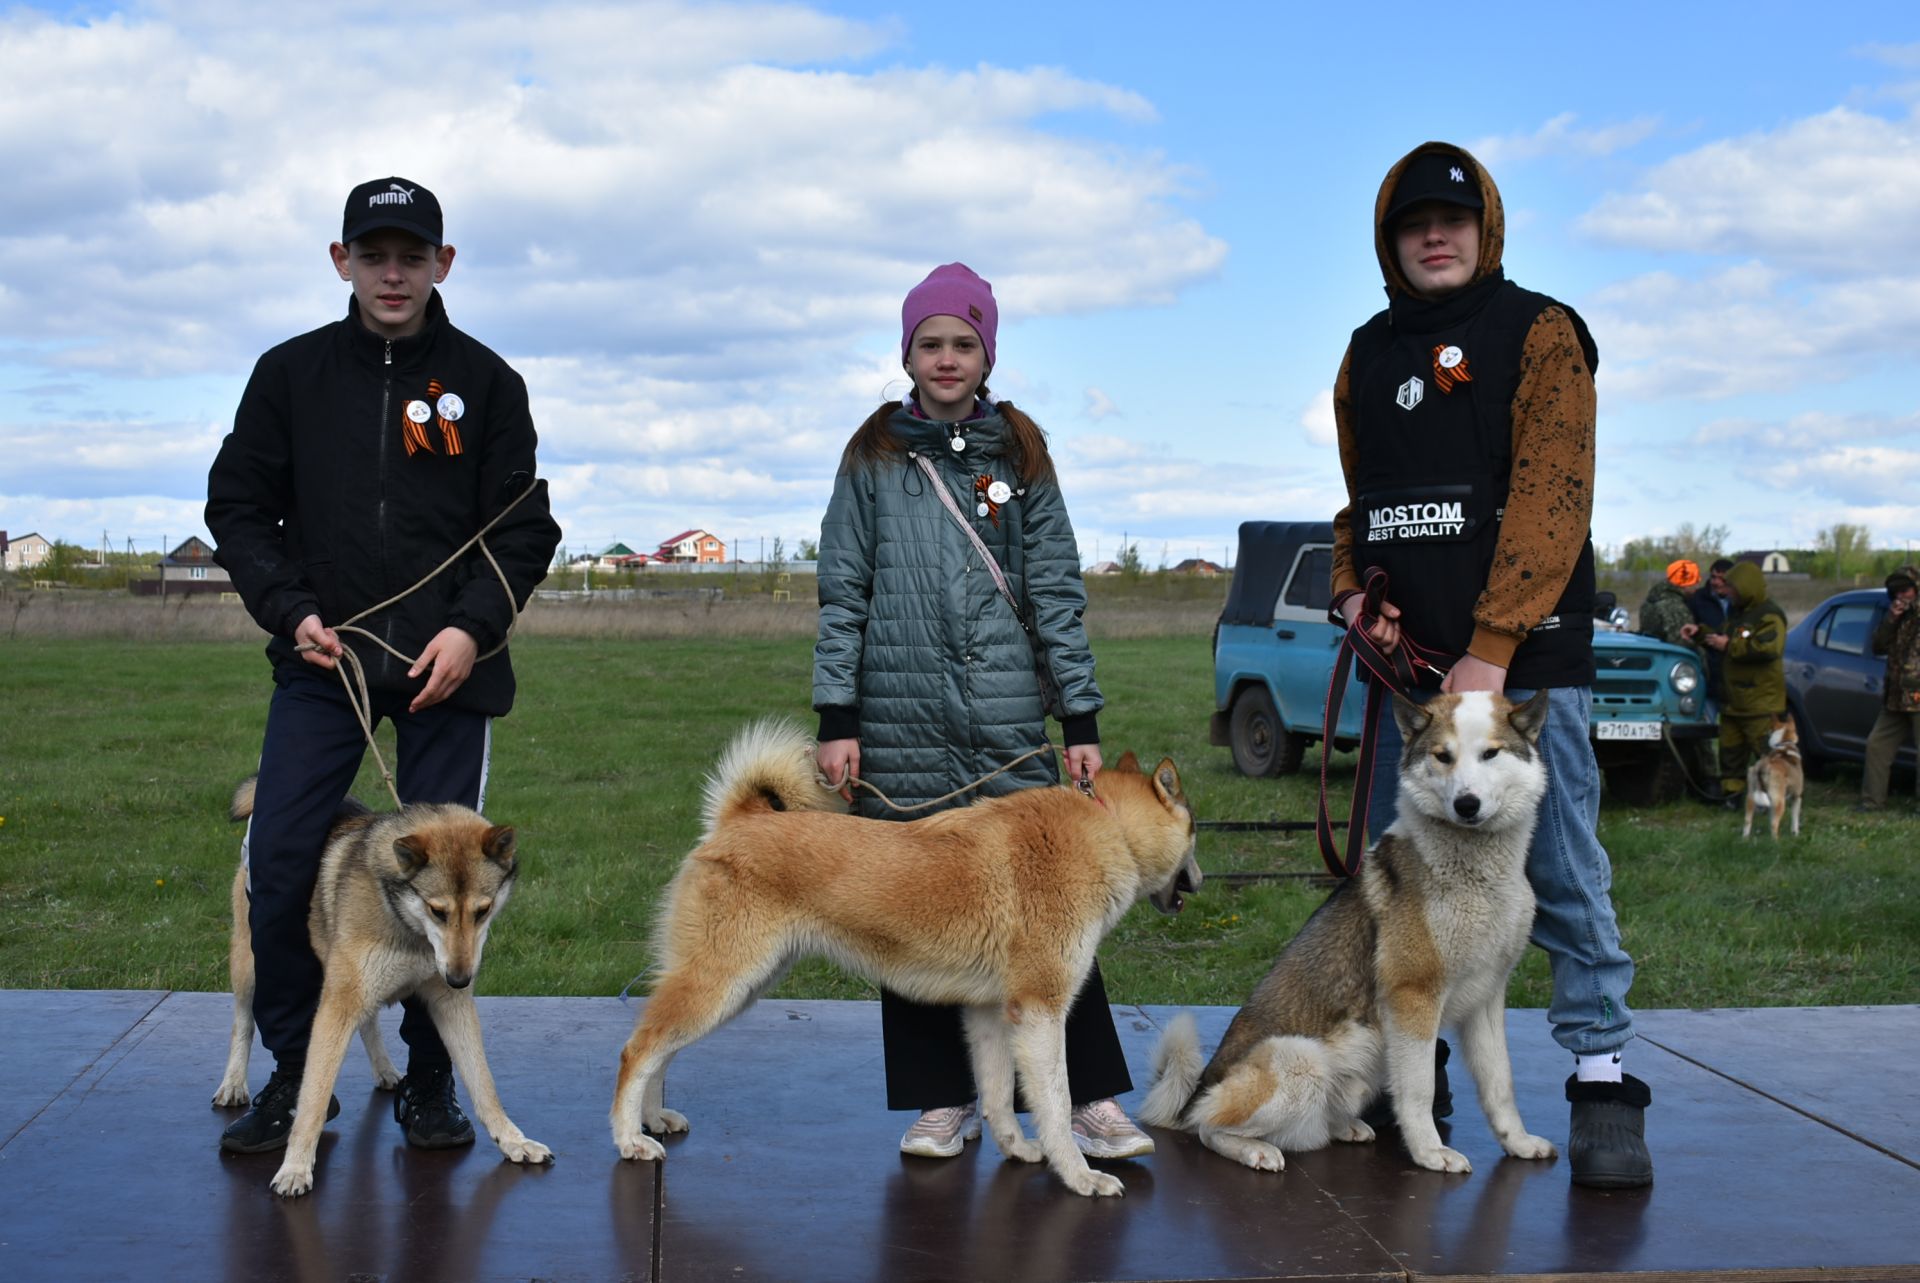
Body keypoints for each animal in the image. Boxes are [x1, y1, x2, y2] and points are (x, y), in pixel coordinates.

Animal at [606, 718, 1198, 1198]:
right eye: (1195, 832)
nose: (1199, 879)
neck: (1107, 826)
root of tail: (738, 820)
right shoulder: (1041, 1012)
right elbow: (1054, 1103)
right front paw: (1079, 1176)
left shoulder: (992, 1015)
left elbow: (999, 1097)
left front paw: (1017, 1150)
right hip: (722, 984)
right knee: (639, 1049)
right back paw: (629, 1139)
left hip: (735, 987)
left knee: (661, 1049)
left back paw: (653, 1119)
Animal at [1136, 691, 1559, 1175]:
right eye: (1443, 756)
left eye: (1491, 754)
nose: (1466, 804)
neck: (1474, 874)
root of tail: (1197, 1089)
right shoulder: (1414, 997)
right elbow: (1420, 1089)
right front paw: (1430, 1152)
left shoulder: (1487, 999)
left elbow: (1499, 1083)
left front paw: (1518, 1142)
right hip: (1301, 1062)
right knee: (1209, 1127)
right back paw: (1255, 1150)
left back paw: (1345, 1127)